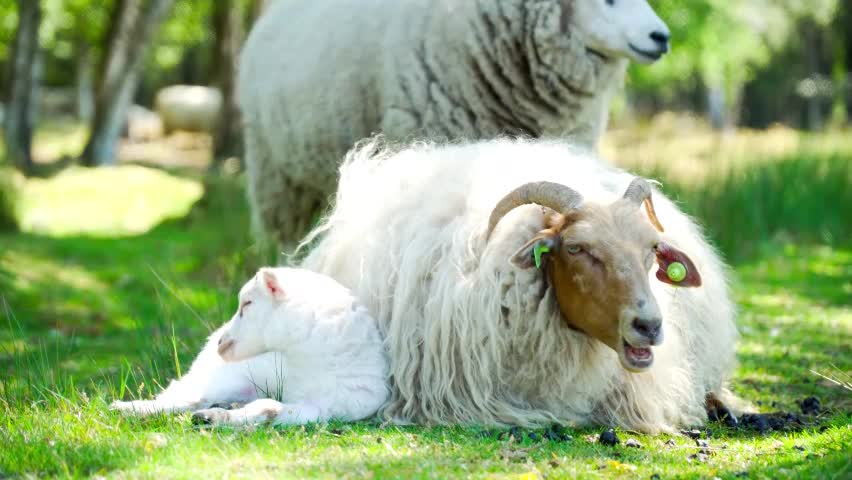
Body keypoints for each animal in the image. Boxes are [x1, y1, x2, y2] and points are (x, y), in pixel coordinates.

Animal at [111, 266, 392, 428]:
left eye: (247, 303)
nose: (221, 343)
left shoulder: (323, 407)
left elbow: (270, 408)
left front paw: (218, 418)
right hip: (227, 374)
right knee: (187, 394)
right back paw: (130, 408)